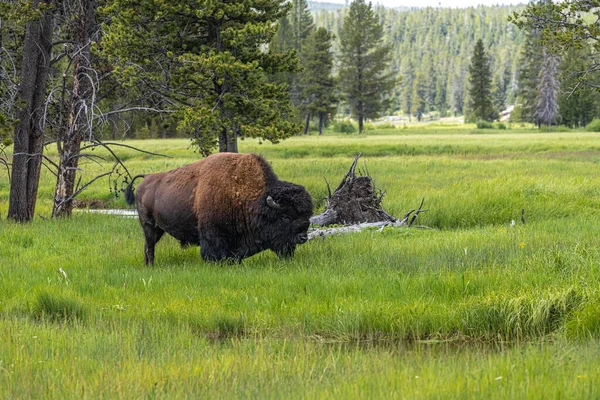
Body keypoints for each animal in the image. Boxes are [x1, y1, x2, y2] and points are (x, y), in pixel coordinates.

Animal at [123, 153, 312, 266]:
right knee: (149, 247)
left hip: (158, 229)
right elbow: (212, 251)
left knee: (147, 246)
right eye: (285, 217)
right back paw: (151, 265)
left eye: (307, 216)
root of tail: (146, 178)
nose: (303, 237)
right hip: (148, 224)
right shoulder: (212, 233)